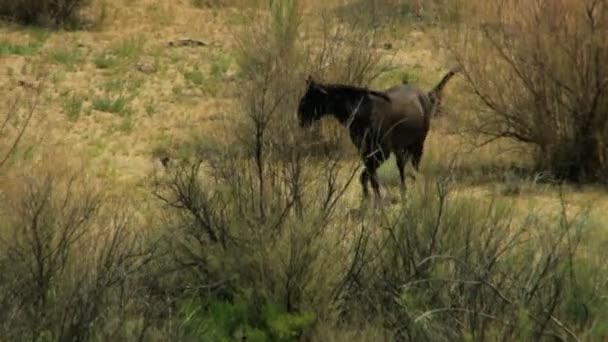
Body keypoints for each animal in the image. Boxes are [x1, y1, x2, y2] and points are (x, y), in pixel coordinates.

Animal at [296, 67, 460, 199]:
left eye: (308, 99)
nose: (299, 116)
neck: (360, 111)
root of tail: (424, 94)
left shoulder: (381, 153)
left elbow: (368, 177)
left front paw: (375, 202)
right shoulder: (365, 152)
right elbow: (367, 177)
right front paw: (368, 200)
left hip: (418, 145)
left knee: (414, 167)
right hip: (399, 149)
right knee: (402, 168)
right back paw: (404, 192)